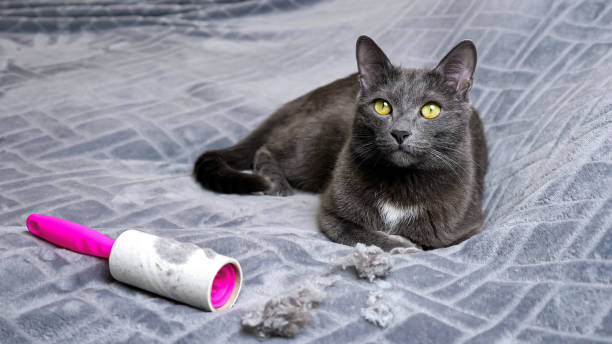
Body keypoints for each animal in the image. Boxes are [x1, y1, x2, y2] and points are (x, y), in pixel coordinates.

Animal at [194, 36, 490, 251]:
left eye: (430, 110)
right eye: (382, 106)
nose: (400, 132)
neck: (401, 182)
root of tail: (309, 95)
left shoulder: (467, 228)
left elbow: (430, 243)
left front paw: (406, 242)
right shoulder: (331, 213)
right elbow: (359, 233)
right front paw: (400, 244)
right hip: (313, 146)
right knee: (267, 147)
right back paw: (274, 183)